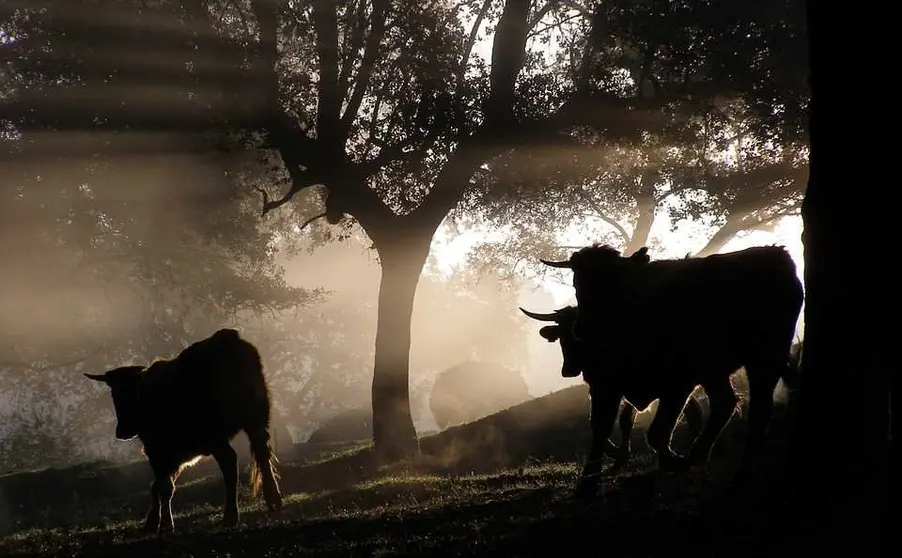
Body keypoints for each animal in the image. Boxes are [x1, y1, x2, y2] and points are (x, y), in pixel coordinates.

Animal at [85, 328, 282, 532]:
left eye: (127, 395)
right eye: (114, 395)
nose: (122, 431)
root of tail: (226, 339)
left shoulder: (157, 451)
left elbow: (163, 486)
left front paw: (164, 524)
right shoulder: (176, 457)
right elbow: (158, 485)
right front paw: (153, 521)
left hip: (216, 434)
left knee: (230, 463)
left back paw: (231, 515)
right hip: (256, 420)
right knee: (262, 453)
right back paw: (273, 499)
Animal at [532, 245, 800, 498]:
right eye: (578, 282)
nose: (582, 327)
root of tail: (775, 254)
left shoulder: (676, 383)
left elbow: (656, 432)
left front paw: (671, 461)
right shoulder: (606, 385)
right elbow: (602, 427)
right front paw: (588, 484)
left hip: (754, 358)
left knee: (746, 410)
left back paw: (720, 469)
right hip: (732, 365)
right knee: (737, 406)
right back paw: (718, 466)